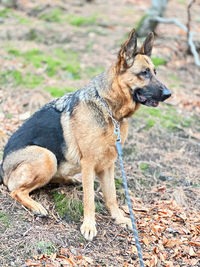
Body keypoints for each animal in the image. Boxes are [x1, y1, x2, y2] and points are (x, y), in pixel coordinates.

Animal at [0, 28, 170, 241]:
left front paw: (118, 217)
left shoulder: (108, 164)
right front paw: (89, 226)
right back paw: (36, 206)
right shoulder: (89, 162)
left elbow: (111, 196)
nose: (168, 94)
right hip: (47, 156)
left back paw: (69, 179)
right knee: (16, 191)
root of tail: (2, 168)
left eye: (155, 72)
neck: (109, 109)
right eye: (144, 73)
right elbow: (89, 198)